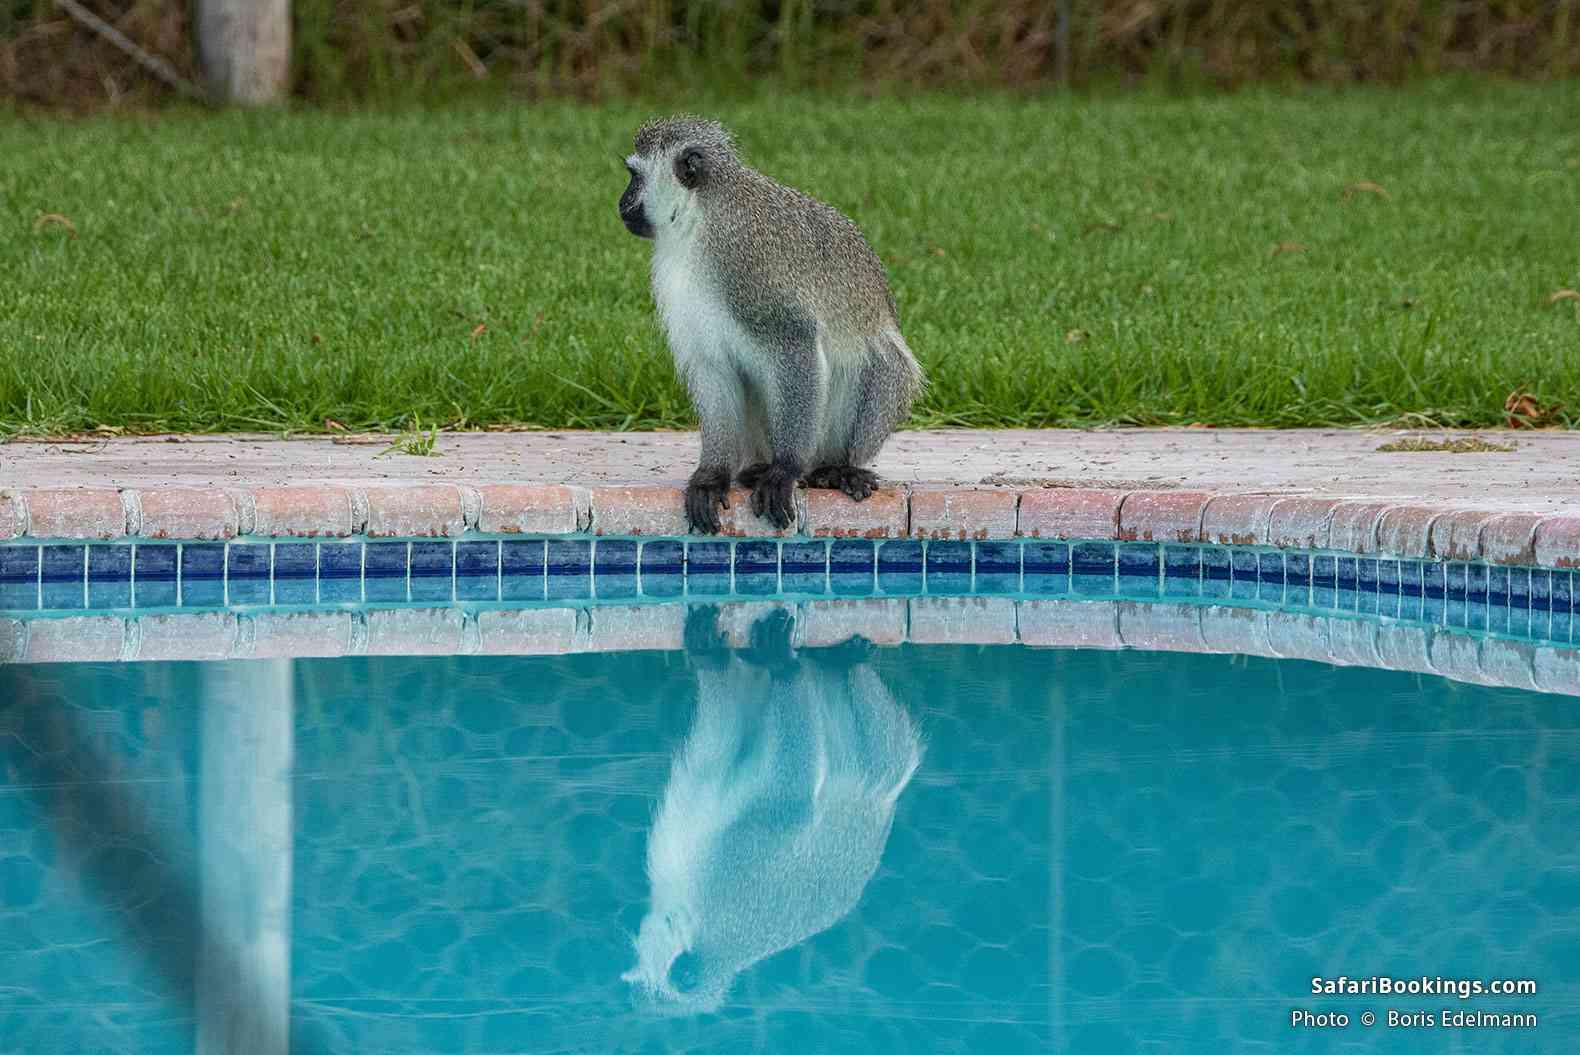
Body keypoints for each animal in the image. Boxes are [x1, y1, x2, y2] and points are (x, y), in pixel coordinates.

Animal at [618, 116, 925, 534]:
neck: (698, 219)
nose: (621, 203)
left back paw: (837, 468)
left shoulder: (749, 264)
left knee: (880, 360)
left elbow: (794, 341)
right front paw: (712, 475)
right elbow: (712, 364)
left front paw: (784, 470)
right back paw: (755, 468)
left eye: (634, 176)